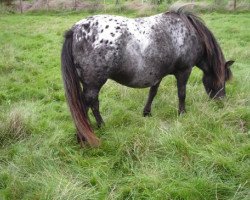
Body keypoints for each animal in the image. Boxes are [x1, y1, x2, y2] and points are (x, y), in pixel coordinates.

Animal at [61, 8, 234, 146]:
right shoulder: (184, 71)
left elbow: (153, 93)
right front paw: (182, 113)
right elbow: (182, 94)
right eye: (222, 80)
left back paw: (96, 128)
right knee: (87, 106)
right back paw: (86, 135)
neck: (190, 33)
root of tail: (75, 30)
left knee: (91, 105)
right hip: (93, 84)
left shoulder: (157, 75)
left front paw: (147, 113)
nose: (221, 102)